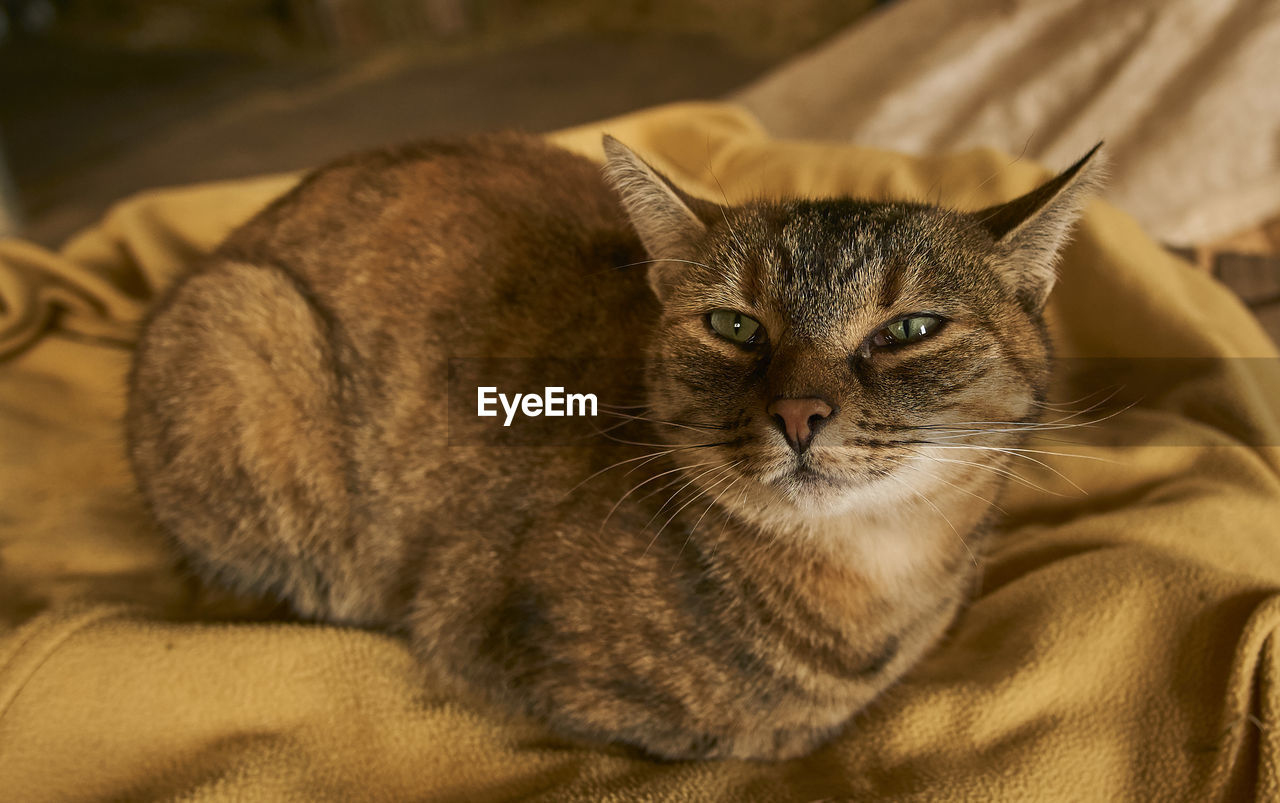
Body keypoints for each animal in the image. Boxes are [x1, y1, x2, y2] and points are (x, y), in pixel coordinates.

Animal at [127, 131, 1100, 758]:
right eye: (733, 325)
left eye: (912, 328)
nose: (798, 413)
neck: (872, 579)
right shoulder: (475, 626)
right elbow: (740, 735)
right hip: (245, 325)